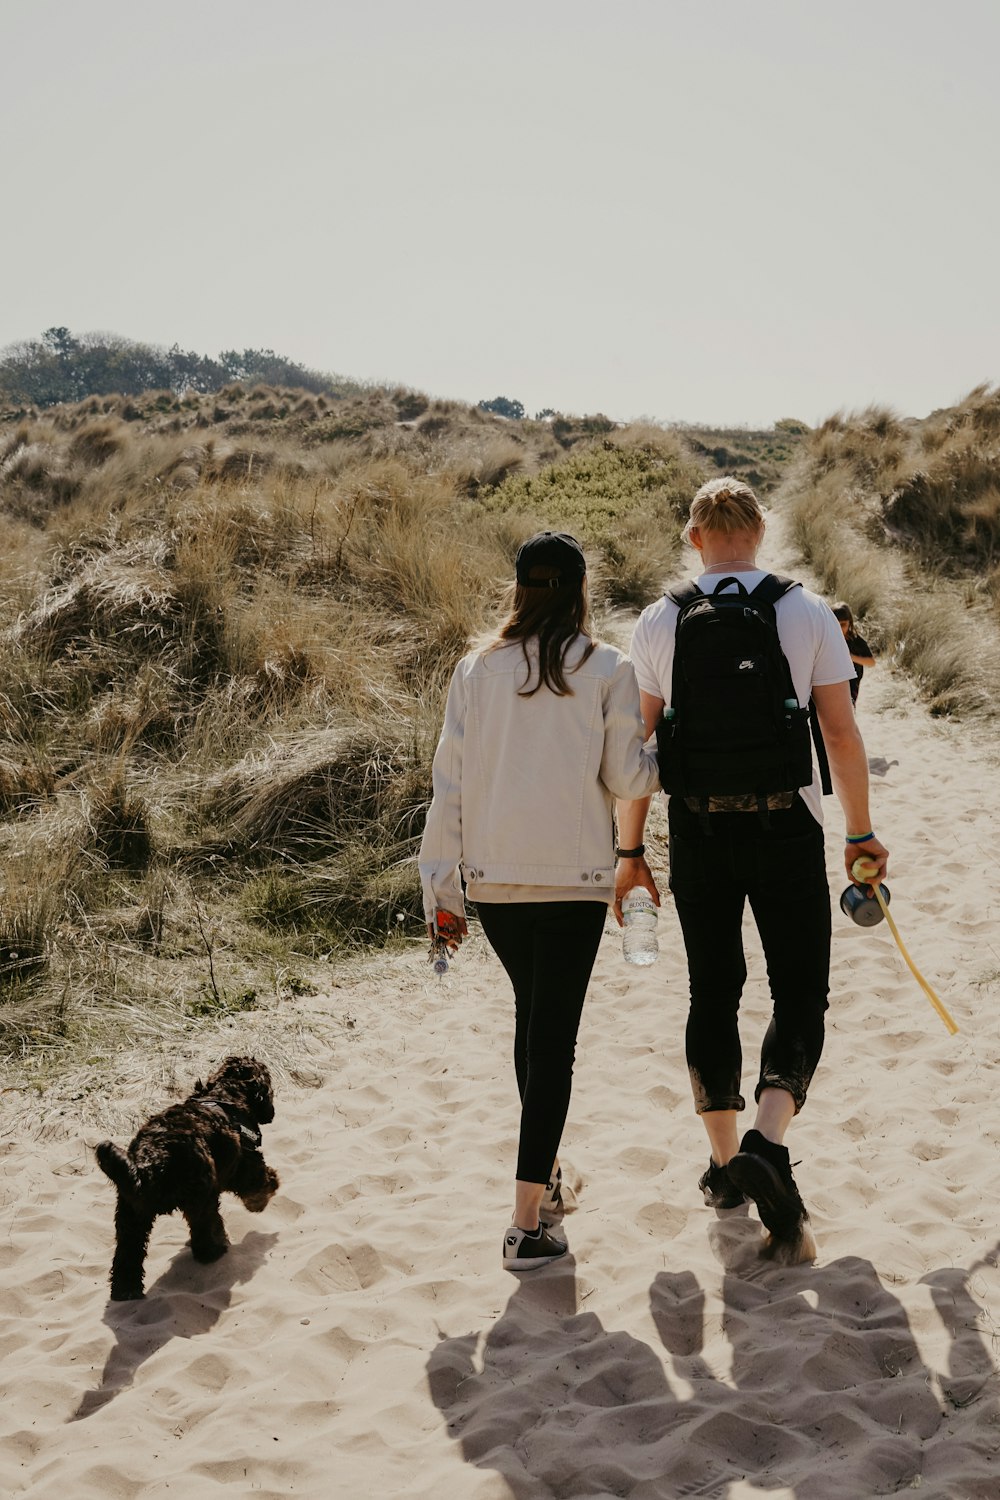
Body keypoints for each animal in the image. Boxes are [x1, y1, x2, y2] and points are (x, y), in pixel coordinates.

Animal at [95, 1056, 280, 1302]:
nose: (272, 1111)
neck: (228, 1093)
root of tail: (152, 1158)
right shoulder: (245, 1163)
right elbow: (258, 1183)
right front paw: (265, 1195)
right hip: (199, 1197)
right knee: (204, 1228)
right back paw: (214, 1251)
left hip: (130, 1214)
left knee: (127, 1253)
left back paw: (125, 1290)